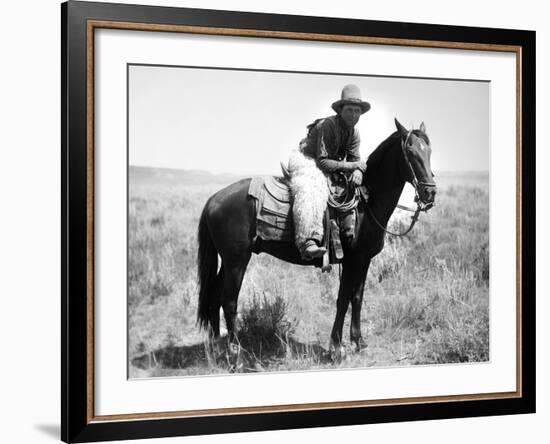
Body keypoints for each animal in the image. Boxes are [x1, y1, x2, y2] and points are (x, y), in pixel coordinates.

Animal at [196, 119, 438, 360]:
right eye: (410, 151)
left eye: (429, 151)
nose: (430, 193)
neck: (366, 203)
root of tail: (213, 199)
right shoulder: (353, 261)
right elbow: (343, 299)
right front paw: (336, 348)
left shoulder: (364, 260)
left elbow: (357, 298)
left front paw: (359, 341)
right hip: (236, 260)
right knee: (229, 300)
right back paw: (235, 354)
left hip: (228, 261)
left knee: (215, 295)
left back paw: (218, 346)